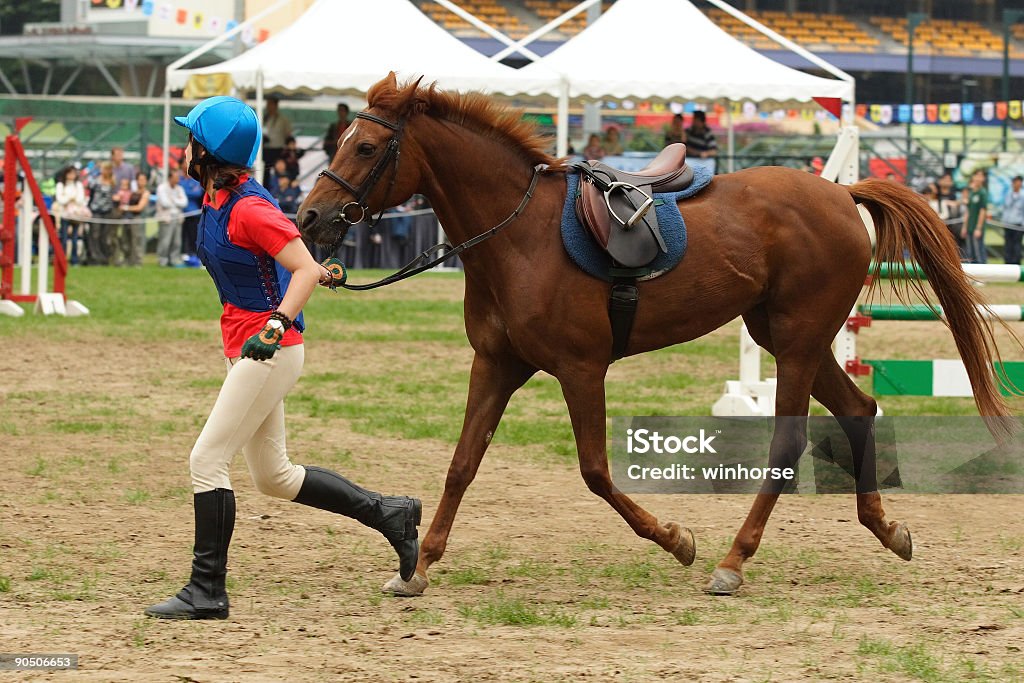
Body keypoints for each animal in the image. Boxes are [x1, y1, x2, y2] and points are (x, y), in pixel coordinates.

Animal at [299, 76, 1015, 598]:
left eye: (366, 148)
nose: (309, 217)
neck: (518, 233)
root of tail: (842, 196)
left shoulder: (581, 368)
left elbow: (594, 472)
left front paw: (677, 540)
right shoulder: (497, 365)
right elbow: (463, 463)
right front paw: (418, 566)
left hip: (799, 341)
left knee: (790, 439)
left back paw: (732, 561)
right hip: (789, 338)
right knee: (860, 409)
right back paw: (886, 529)